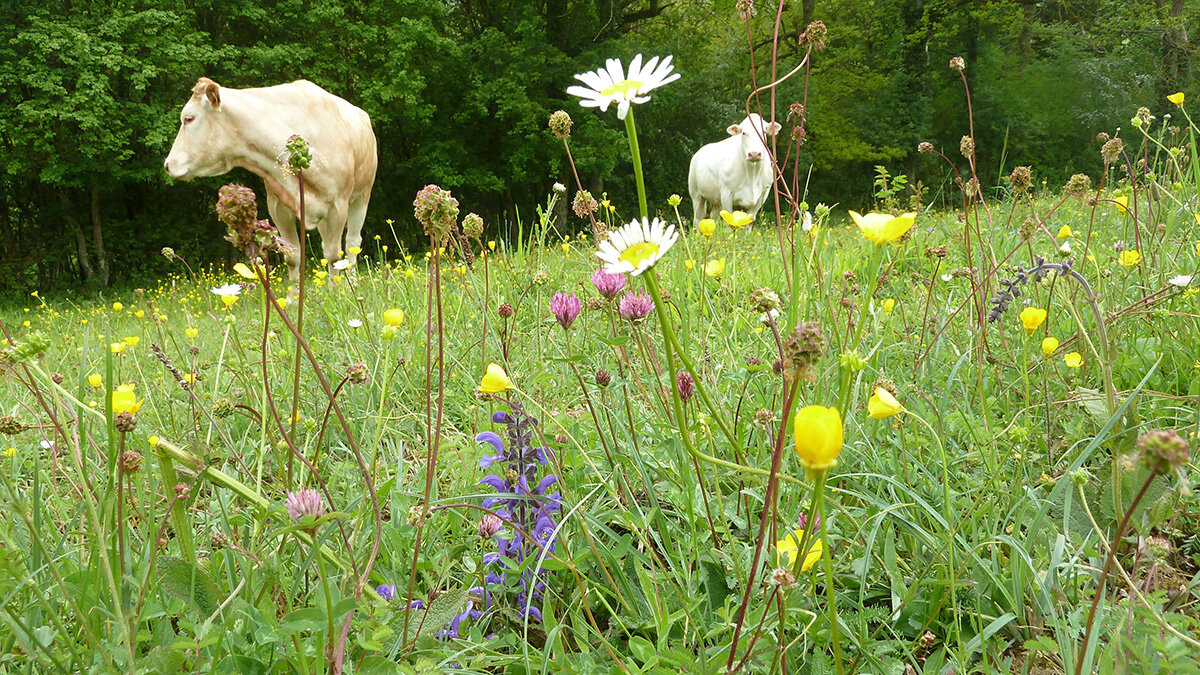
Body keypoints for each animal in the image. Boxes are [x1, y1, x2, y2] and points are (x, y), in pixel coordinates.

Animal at [164, 77, 376, 279]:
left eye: (189, 118)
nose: (167, 165)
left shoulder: (337, 206)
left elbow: (334, 257)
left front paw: (338, 291)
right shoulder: (278, 207)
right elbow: (292, 257)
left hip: (362, 196)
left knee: (352, 243)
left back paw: (352, 282)